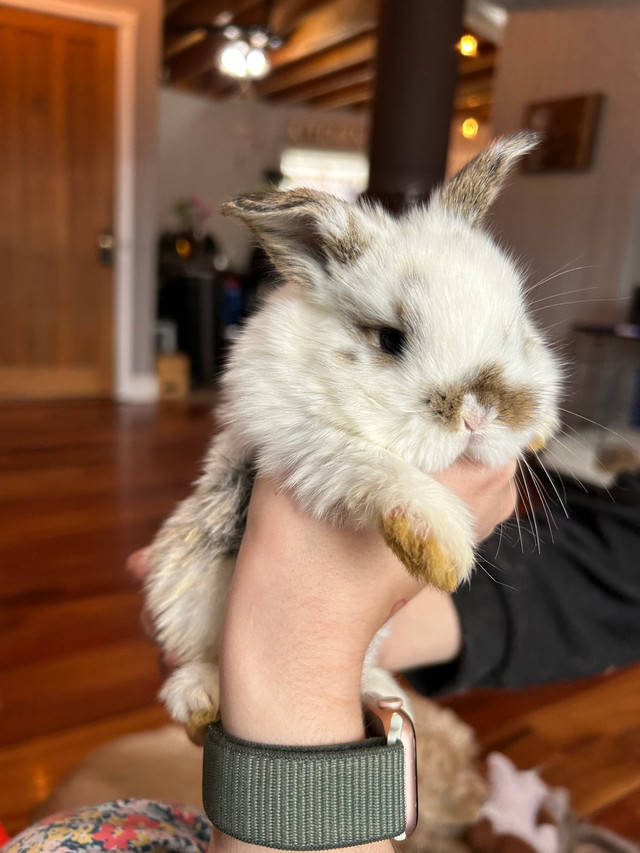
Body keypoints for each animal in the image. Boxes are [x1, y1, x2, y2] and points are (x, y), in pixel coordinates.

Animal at [145, 133, 560, 740]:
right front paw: (442, 550)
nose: (478, 416)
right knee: (196, 659)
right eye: (390, 339)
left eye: (516, 331)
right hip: (186, 586)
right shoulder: (298, 436)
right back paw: (199, 701)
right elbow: (370, 465)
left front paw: (541, 430)